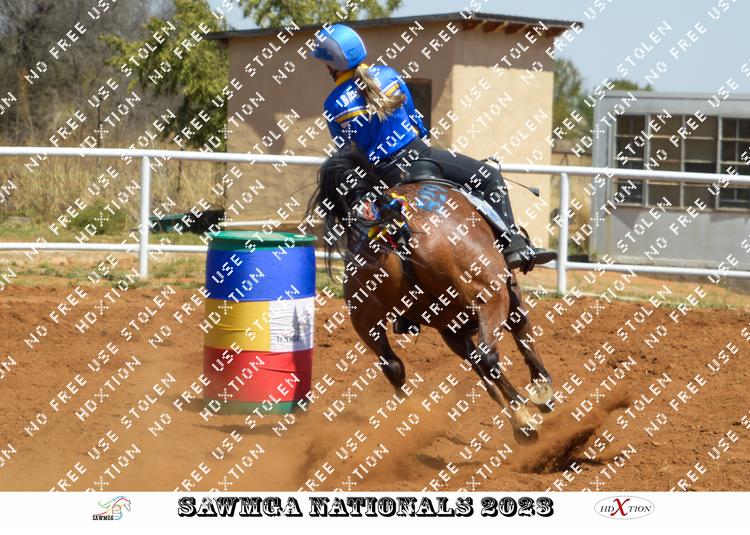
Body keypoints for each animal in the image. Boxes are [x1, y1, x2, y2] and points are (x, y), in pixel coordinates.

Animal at [309, 148, 554, 443]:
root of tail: (396, 226)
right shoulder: (508, 291)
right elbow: (523, 336)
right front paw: (542, 392)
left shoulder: (451, 328)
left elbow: (484, 374)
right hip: (491, 296)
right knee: (488, 355)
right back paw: (526, 418)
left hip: (365, 321)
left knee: (394, 366)